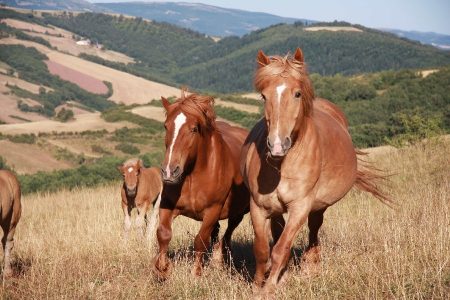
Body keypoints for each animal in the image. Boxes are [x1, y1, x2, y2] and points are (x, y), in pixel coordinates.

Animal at [154, 89, 251, 278]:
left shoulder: (213, 210)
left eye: (193, 129)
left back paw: (218, 262)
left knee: (227, 235)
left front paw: (196, 273)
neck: (193, 176)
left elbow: (200, 240)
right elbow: (163, 233)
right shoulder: (167, 205)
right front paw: (162, 269)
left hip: (239, 212)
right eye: (165, 126)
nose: (170, 171)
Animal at [239, 48, 390, 296]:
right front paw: (257, 286)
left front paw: (269, 289)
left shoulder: (300, 206)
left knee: (313, 229)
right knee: (279, 230)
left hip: (318, 205)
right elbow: (262, 250)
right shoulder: (258, 206)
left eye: (297, 94)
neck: (283, 164)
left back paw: (310, 267)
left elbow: (280, 249)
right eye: (263, 96)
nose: (277, 145)